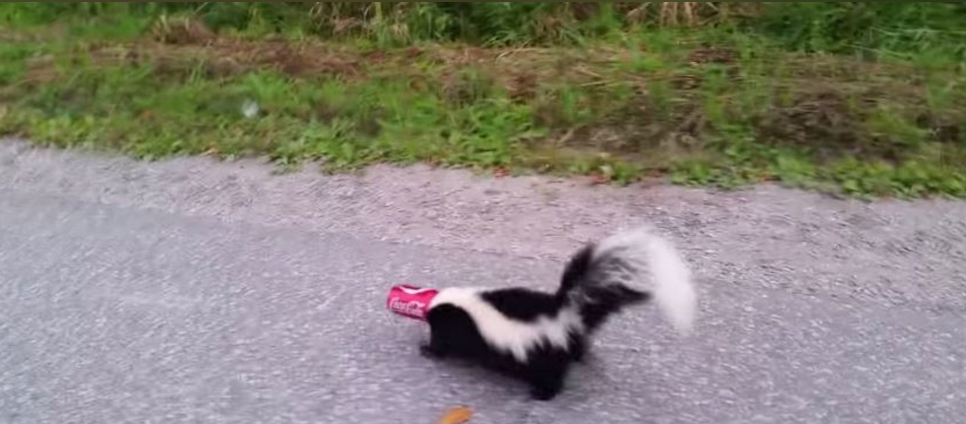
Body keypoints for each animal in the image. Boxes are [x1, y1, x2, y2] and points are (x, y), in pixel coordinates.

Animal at [420, 225, 700, 400]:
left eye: (434, 321)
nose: (426, 317)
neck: (461, 305)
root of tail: (566, 310)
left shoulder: (461, 328)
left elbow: (448, 343)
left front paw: (429, 350)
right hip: (567, 341)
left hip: (547, 351)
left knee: (552, 374)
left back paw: (542, 394)